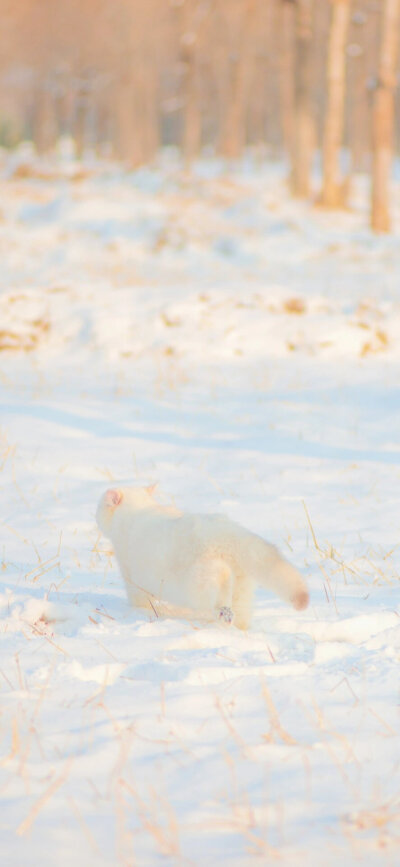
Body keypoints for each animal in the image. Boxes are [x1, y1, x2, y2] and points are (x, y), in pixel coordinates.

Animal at [97, 482, 310, 632]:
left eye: (99, 507)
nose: (96, 515)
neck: (137, 512)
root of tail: (227, 532)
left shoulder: (131, 575)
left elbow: (139, 599)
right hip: (243, 584)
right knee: (241, 611)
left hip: (198, 578)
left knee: (219, 583)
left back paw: (223, 612)